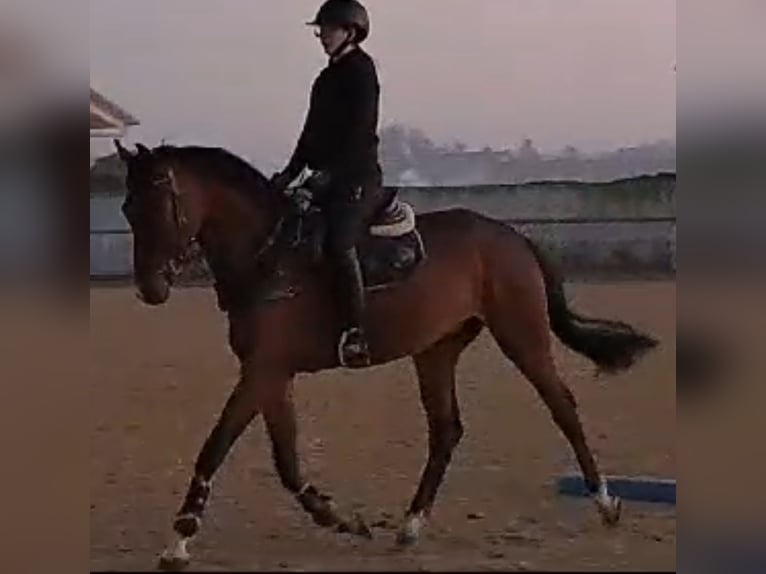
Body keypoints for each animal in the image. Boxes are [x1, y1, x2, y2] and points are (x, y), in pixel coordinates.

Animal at [114, 140, 660, 572]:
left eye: (159, 203)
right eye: (126, 210)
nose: (150, 288)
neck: (270, 257)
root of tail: (511, 235)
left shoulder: (262, 372)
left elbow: (216, 446)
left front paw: (179, 541)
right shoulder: (271, 374)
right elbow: (286, 460)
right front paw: (339, 518)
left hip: (521, 336)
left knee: (562, 407)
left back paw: (606, 502)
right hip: (436, 351)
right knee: (446, 430)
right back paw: (410, 524)